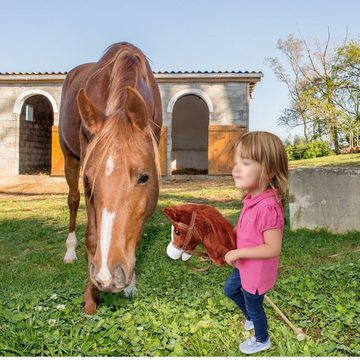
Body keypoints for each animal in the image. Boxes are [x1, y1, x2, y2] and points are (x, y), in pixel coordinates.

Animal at [59, 41, 162, 312]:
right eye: (89, 180)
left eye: (144, 177)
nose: (107, 276)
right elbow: (92, 236)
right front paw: (90, 298)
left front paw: (130, 285)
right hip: (69, 157)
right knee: (72, 201)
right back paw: (70, 251)